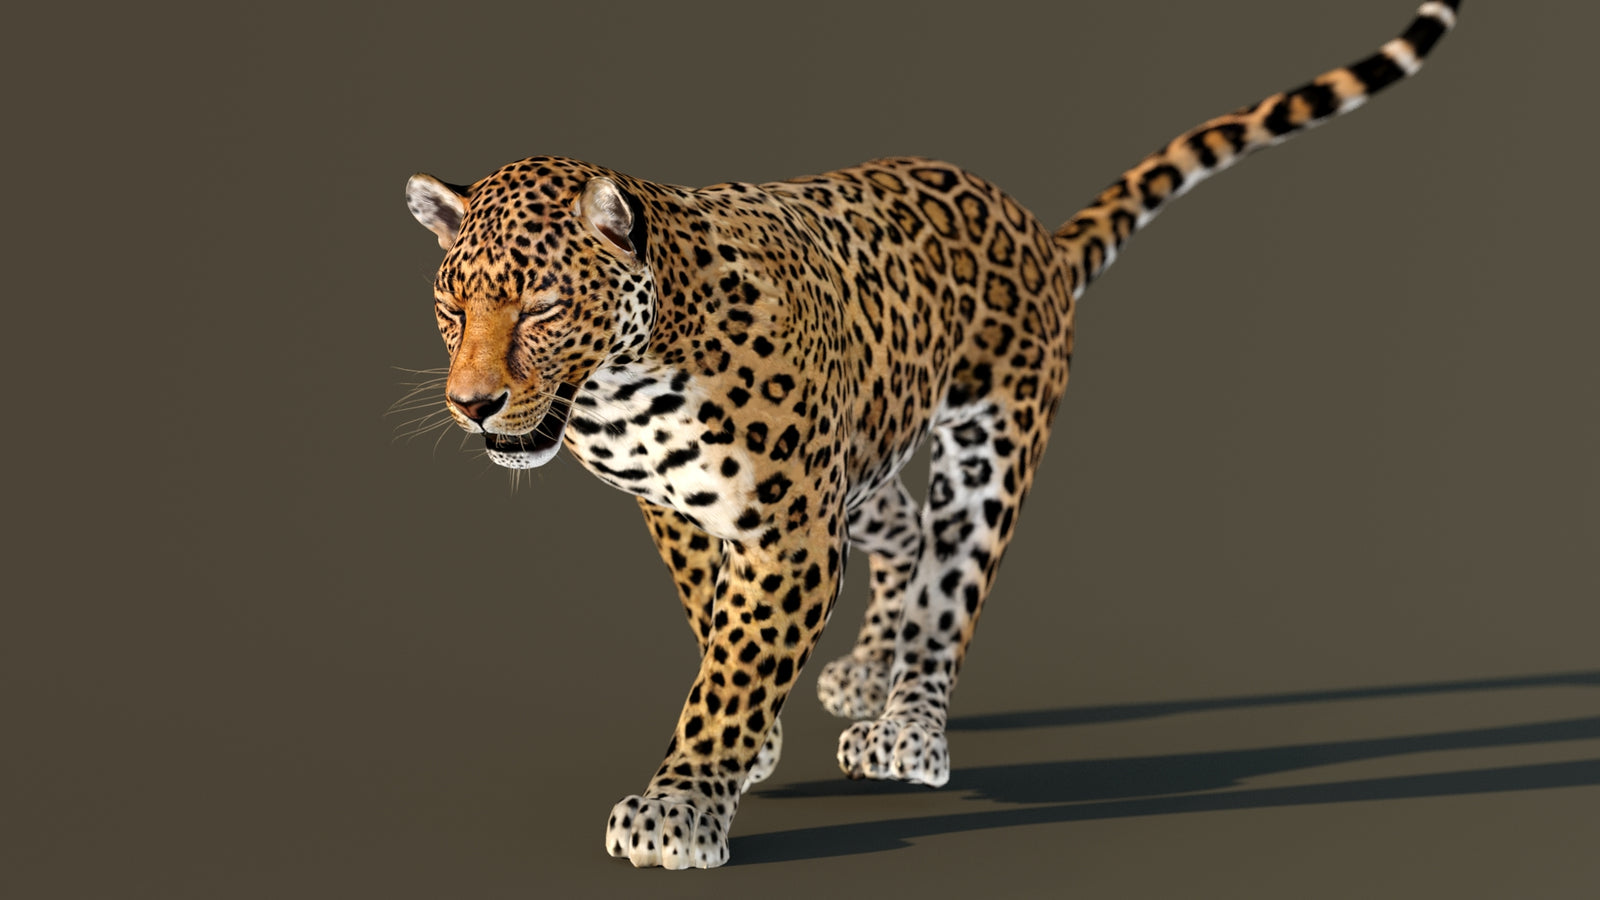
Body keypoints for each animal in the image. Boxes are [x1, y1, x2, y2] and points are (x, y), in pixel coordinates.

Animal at [400, 1, 1460, 869]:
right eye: (452, 306)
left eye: (542, 305)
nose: (473, 404)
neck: (624, 387)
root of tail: (1036, 235)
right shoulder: (688, 513)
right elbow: (718, 627)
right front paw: (749, 751)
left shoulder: (787, 533)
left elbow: (737, 665)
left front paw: (682, 806)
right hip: (864, 461)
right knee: (905, 534)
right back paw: (871, 669)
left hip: (985, 448)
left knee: (950, 589)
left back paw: (906, 727)